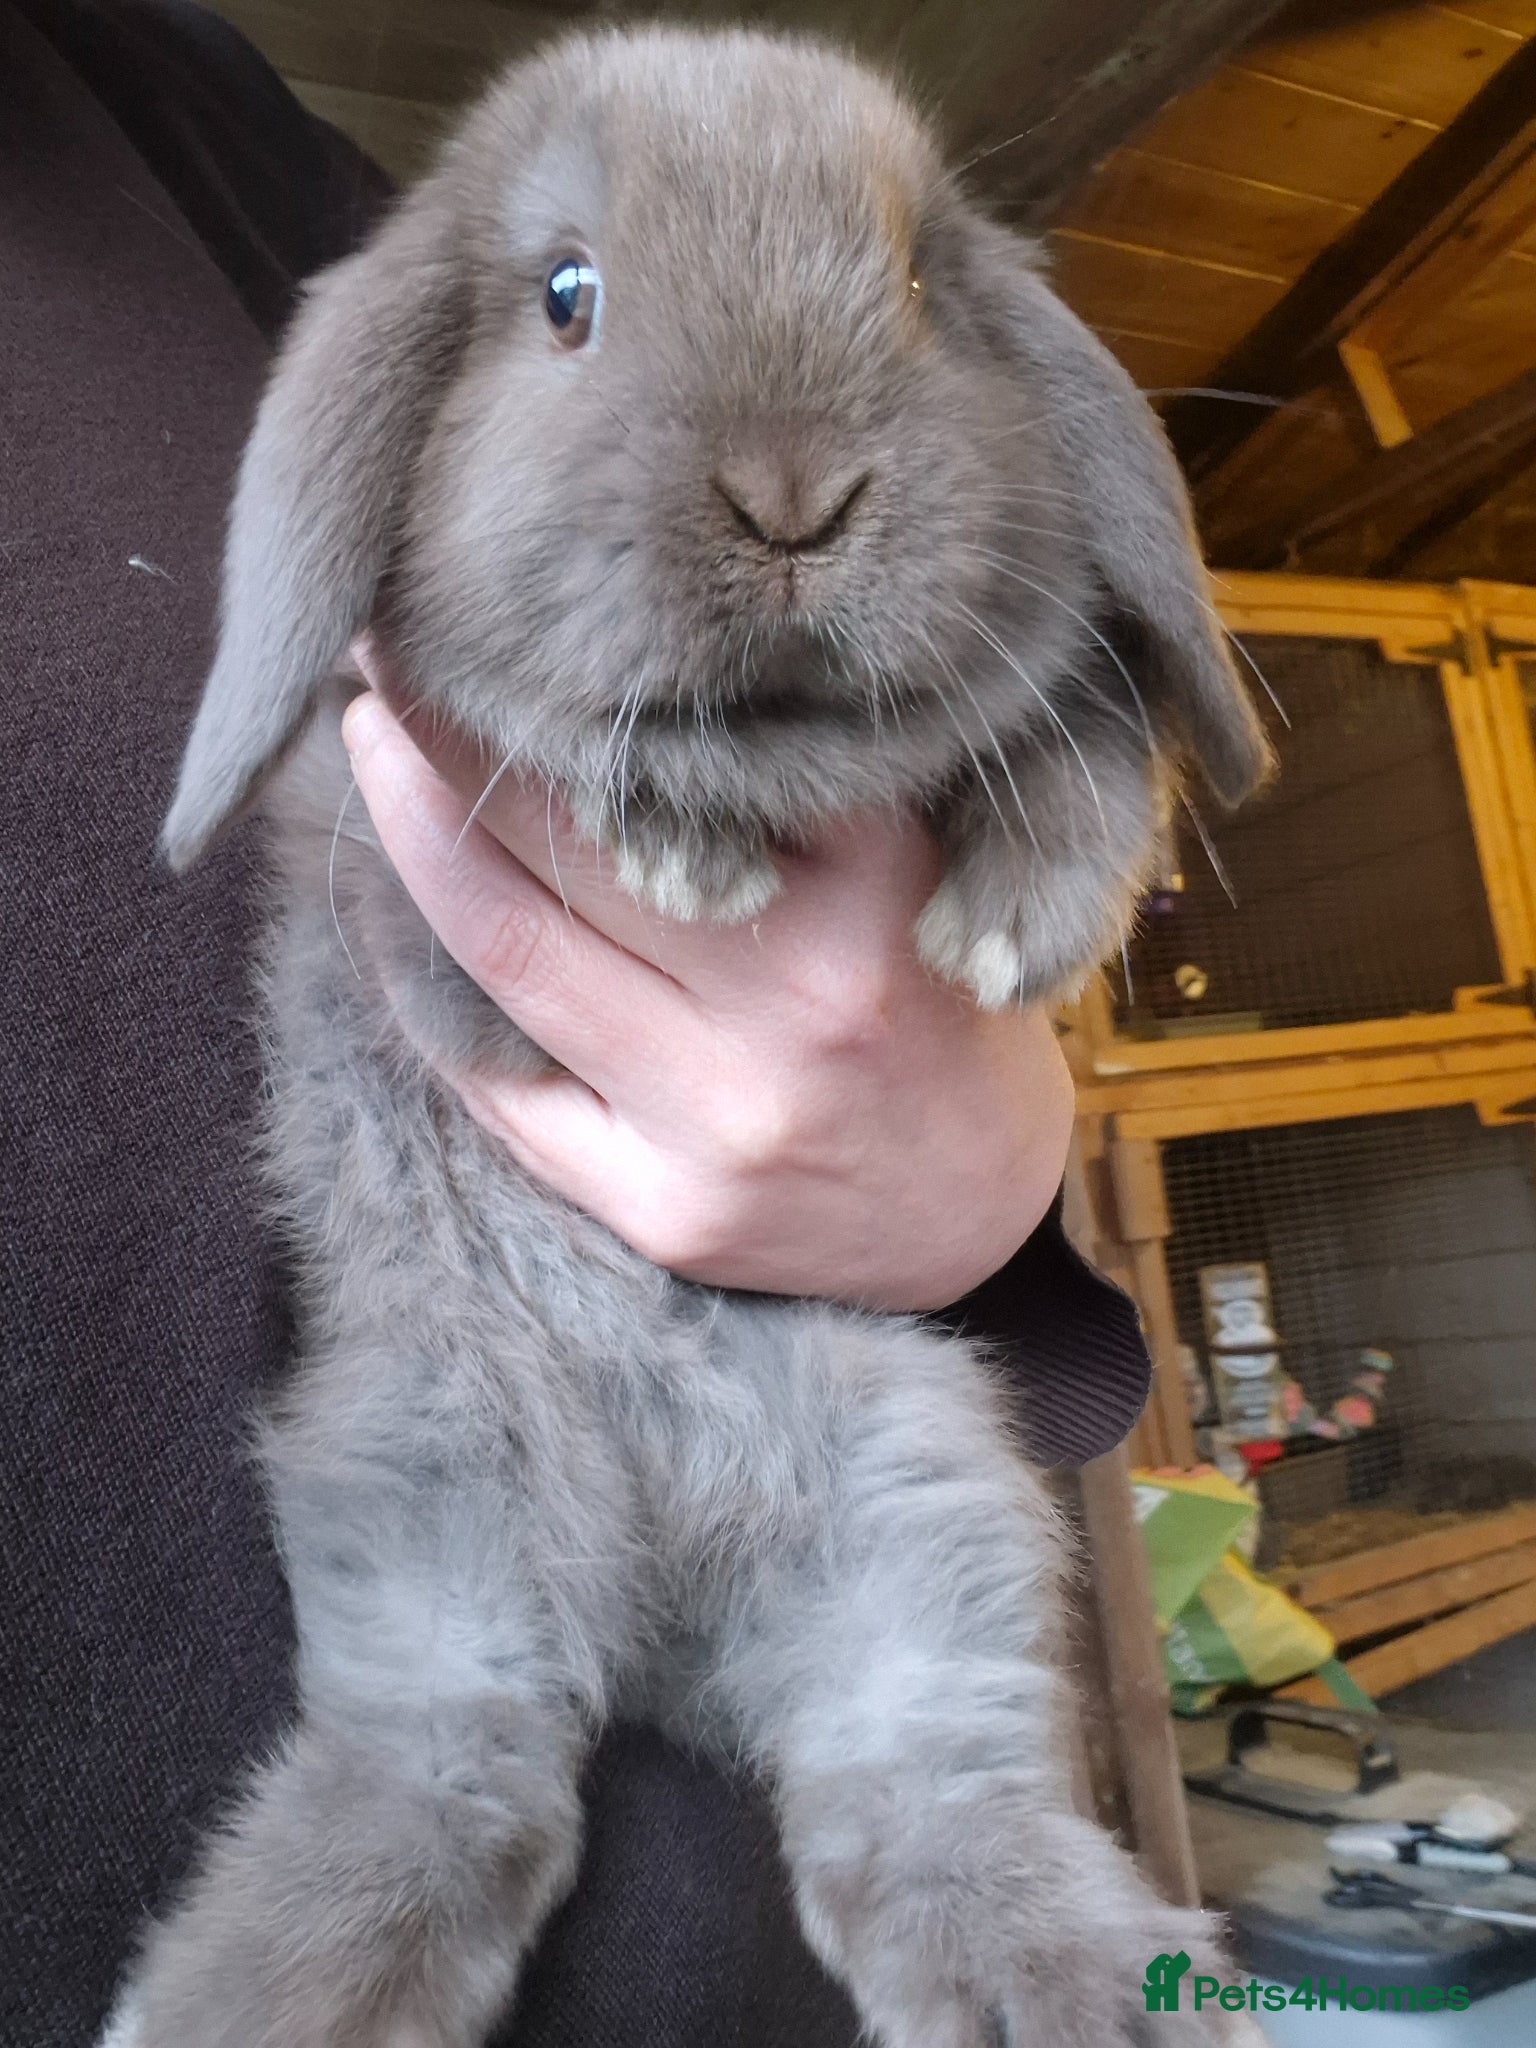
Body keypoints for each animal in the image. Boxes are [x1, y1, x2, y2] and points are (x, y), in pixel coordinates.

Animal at [103, 24, 1271, 2048]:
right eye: (567, 294)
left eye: (919, 286)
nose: (797, 492)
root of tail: (666, 1612)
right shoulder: (403, 899)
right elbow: (535, 770)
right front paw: (670, 839)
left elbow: (1087, 736)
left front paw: (1006, 925)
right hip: (431, 1489)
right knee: (446, 1774)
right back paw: (254, 1997)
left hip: (926, 1500)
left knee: (921, 1789)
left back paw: (1080, 1987)